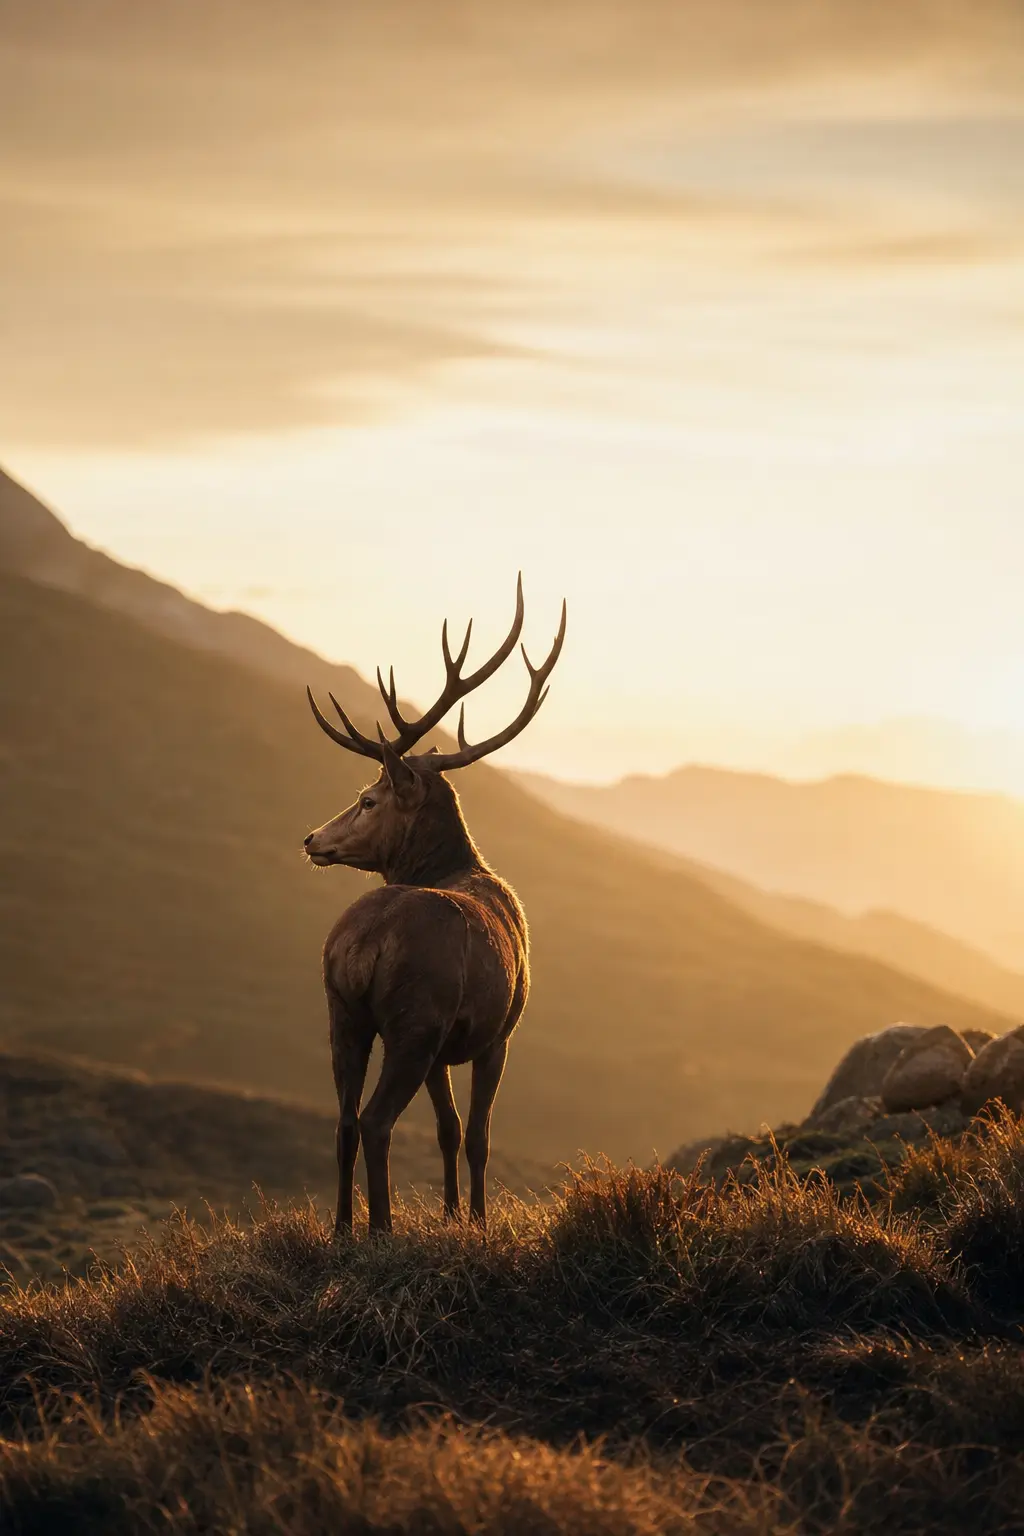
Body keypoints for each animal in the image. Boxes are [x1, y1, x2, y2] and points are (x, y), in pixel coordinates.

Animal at [303, 577, 566, 1235]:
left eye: (367, 800)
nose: (312, 839)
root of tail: (359, 946)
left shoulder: (451, 1046)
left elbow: (448, 1129)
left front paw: (451, 1215)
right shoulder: (498, 1032)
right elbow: (477, 1135)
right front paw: (475, 1219)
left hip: (342, 1014)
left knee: (345, 1121)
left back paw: (343, 1229)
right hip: (413, 1021)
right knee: (376, 1120)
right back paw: (380, 1229)